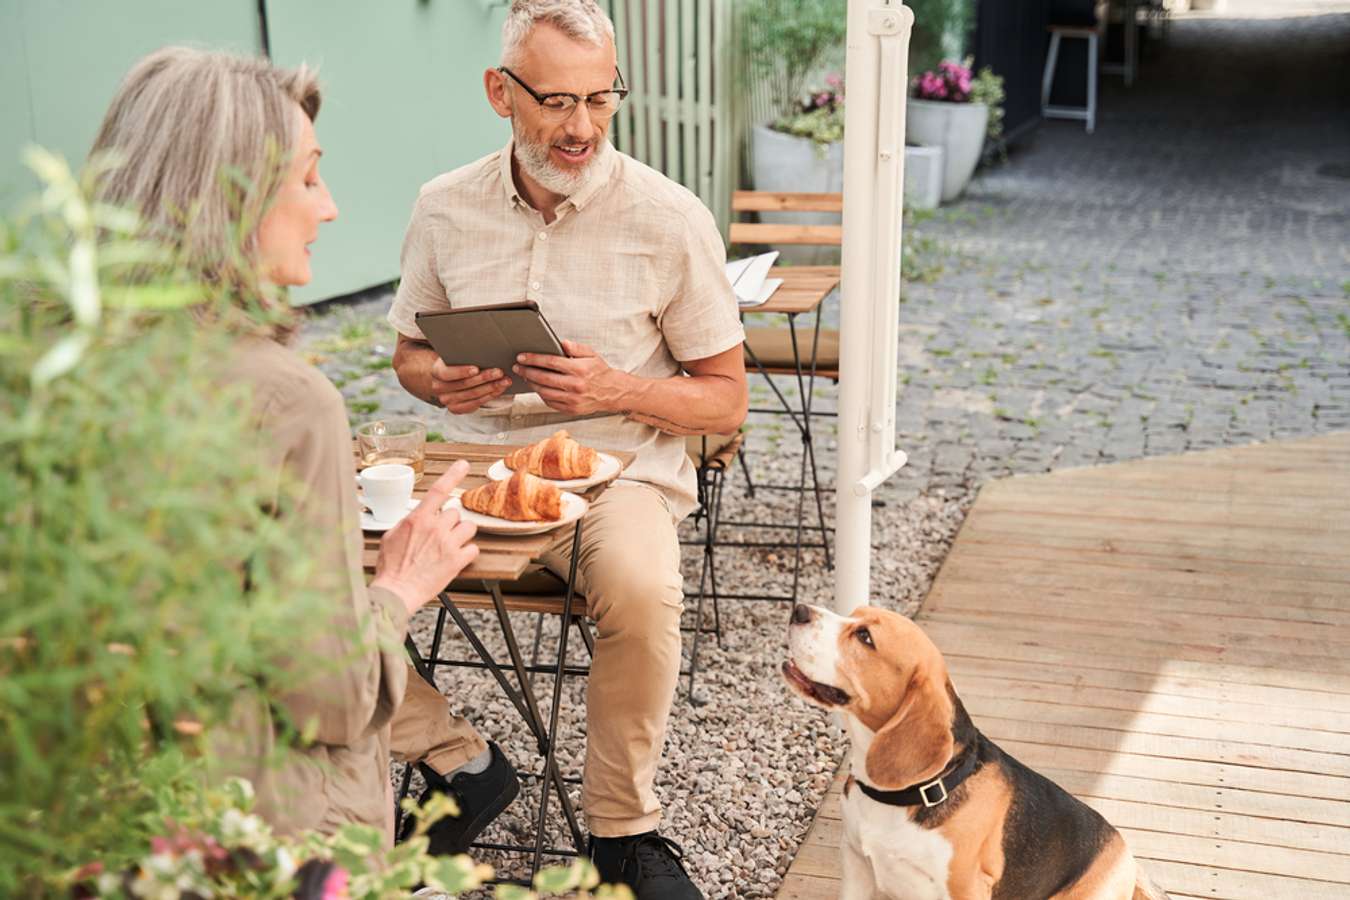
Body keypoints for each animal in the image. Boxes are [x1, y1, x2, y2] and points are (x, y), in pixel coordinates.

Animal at [783, 601, 1171, 900]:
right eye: (852, 614)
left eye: (865, 637)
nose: (799, 609)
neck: (915, 791)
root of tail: (1128, 857)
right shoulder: (856, 864)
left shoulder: (964, 887)